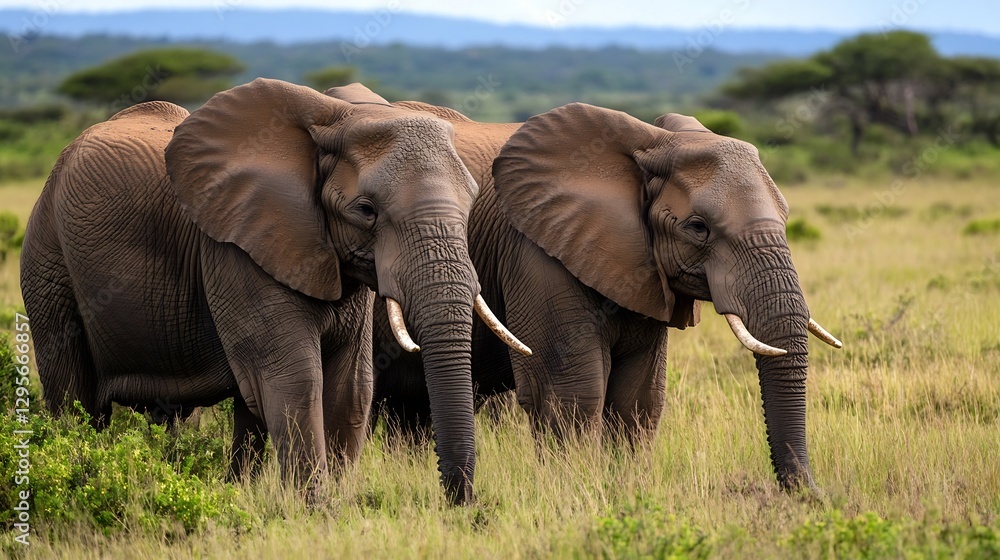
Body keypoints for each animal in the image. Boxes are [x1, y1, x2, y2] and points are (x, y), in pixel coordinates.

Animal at [20, 78, 525, 504]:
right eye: (366, 210)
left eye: (471, 201)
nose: (460, 504)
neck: (336, 117)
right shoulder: (235, 247)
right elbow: (296, 377)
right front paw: (315, 511)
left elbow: (351, 384)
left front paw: (334, 505)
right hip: (47, 259)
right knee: (74, 398)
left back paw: (231, 491)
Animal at [338, 87, 842, 492]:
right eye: (698, 228)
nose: (809, 495)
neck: (649, 144)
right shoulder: (536, 251)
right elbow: (571, 393)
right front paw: (575, 493)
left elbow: (640, 398)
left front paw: (626, 492)